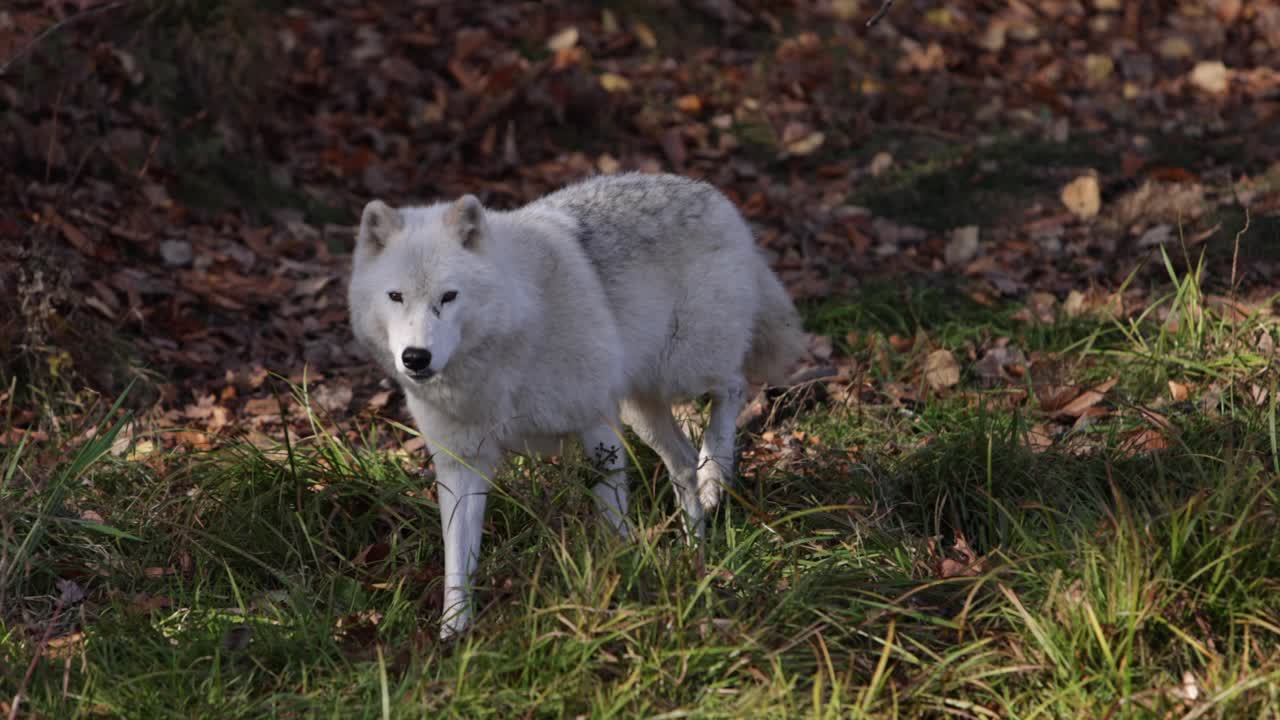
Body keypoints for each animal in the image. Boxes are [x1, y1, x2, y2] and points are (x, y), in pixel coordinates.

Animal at [347, 173, 805, 638]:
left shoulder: (597, 424)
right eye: (395, 296)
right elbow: (457, 561)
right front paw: (454, 633)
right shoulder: (461, 462)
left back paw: (715, 474)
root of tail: (714, 195)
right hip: (642, 410)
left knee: (733, 388)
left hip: (683, 372)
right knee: (682, 459)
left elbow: (613, 517)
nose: (415, 358)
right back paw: (695, 546)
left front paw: (625, 579)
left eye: (449, 296)